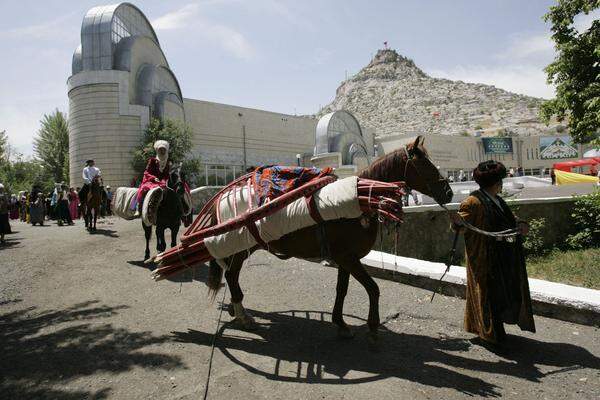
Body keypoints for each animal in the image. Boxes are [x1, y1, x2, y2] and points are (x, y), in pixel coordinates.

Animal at [205, 137, 450, 344]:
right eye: (425, 164)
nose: (448, 192)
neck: (360, 202)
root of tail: (224, 195)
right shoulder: (348, 258)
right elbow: (373, 288)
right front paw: (372, 327)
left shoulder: (345, 258)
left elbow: (342, 289)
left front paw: (340, 323)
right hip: (239, 248)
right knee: (231, 275)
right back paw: (242, 316)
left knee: (232, 274)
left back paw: (237, 309)